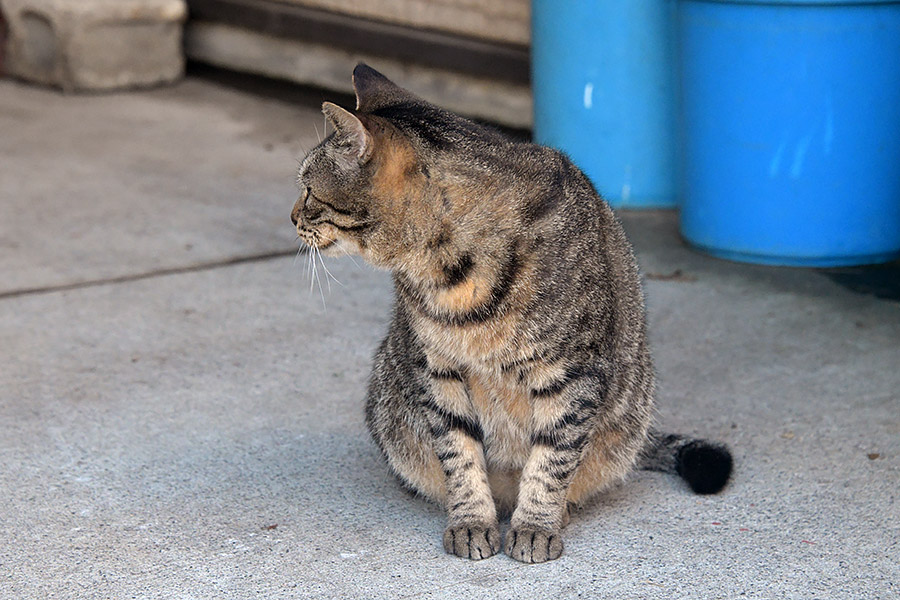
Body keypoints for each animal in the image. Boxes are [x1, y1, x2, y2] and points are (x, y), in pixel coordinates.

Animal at [292, 64, 736, 564]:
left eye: (308, 191)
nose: (292, 217)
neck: (450, 272)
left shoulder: (574, 376)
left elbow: (551, 462)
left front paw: (536, 526)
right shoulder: (437, 371)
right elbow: (459, 455)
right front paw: (470, 520)